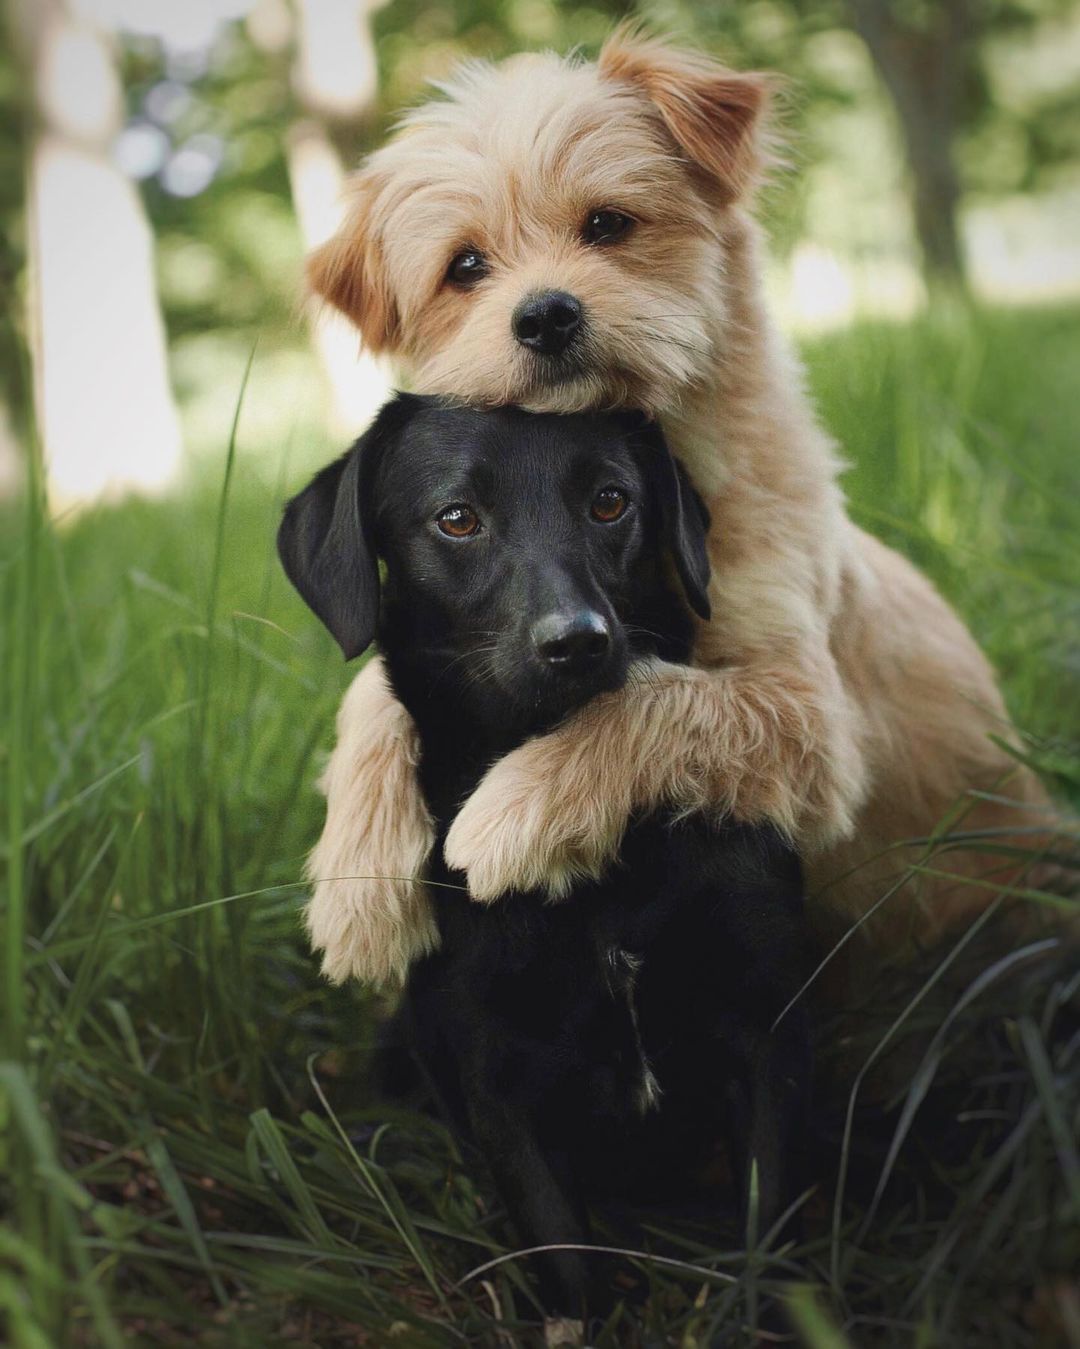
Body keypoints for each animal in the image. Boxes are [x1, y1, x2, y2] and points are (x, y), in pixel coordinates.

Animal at [277, 393, 808, 1322]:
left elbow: (766, 1231)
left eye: (610, 501)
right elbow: (563, 1258)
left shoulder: (761, 1030)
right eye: (456, 517)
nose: (577, 641)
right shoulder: (496, 1080)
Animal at [300, 26, 1051, 987]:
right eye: (465, 265)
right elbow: (372, 690)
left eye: (608, 223)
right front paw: (357, 885)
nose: (545, 316)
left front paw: (515, 811)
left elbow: (660, 701)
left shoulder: (812, 721)